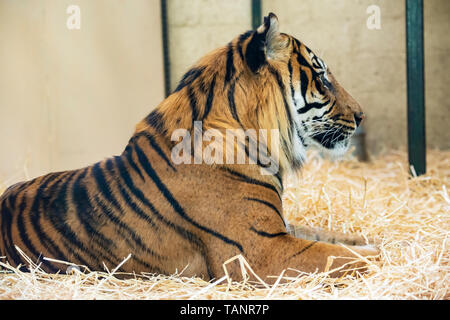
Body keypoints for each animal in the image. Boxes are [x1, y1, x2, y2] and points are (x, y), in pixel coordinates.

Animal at [0, 13, 378, 282]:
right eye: (322, 78)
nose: (362, 115)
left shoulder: (278, 228)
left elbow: (341, 239)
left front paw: (378, 240)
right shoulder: (260, 250)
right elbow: (347, 256)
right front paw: (380, 255)